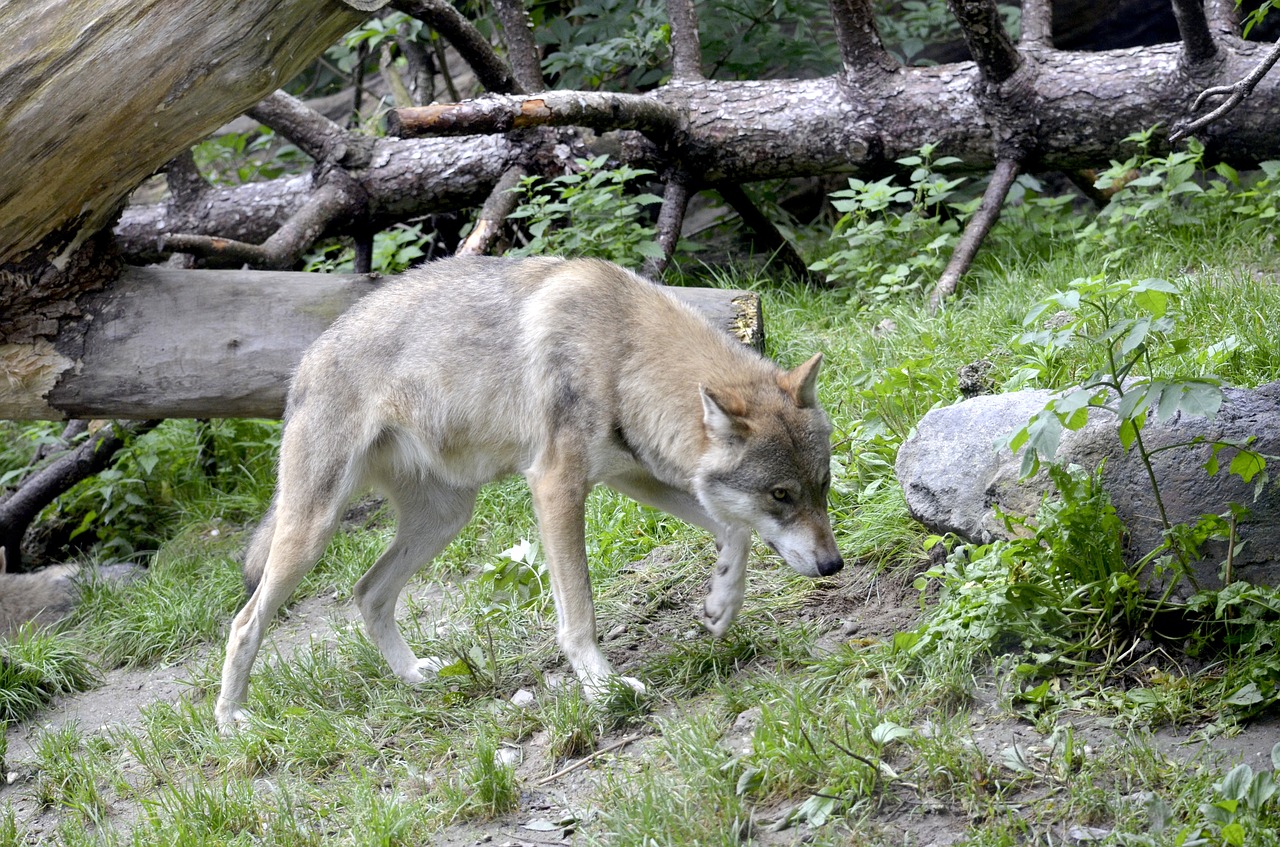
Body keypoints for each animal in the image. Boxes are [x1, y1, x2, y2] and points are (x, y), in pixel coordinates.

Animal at [215, 253, 844, 731]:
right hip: (312, 534)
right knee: (245, 622)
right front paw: (605, 690)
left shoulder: (631, 476)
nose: (833, 566)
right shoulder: (556, 488)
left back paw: (416, 677)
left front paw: (720, 605)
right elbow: (579, 613)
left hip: (445, 520)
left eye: (822, 486)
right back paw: (232, 722)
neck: (620, 351)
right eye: (781, 495)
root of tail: (303, 364)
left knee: (367, 593)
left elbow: (734, 532)